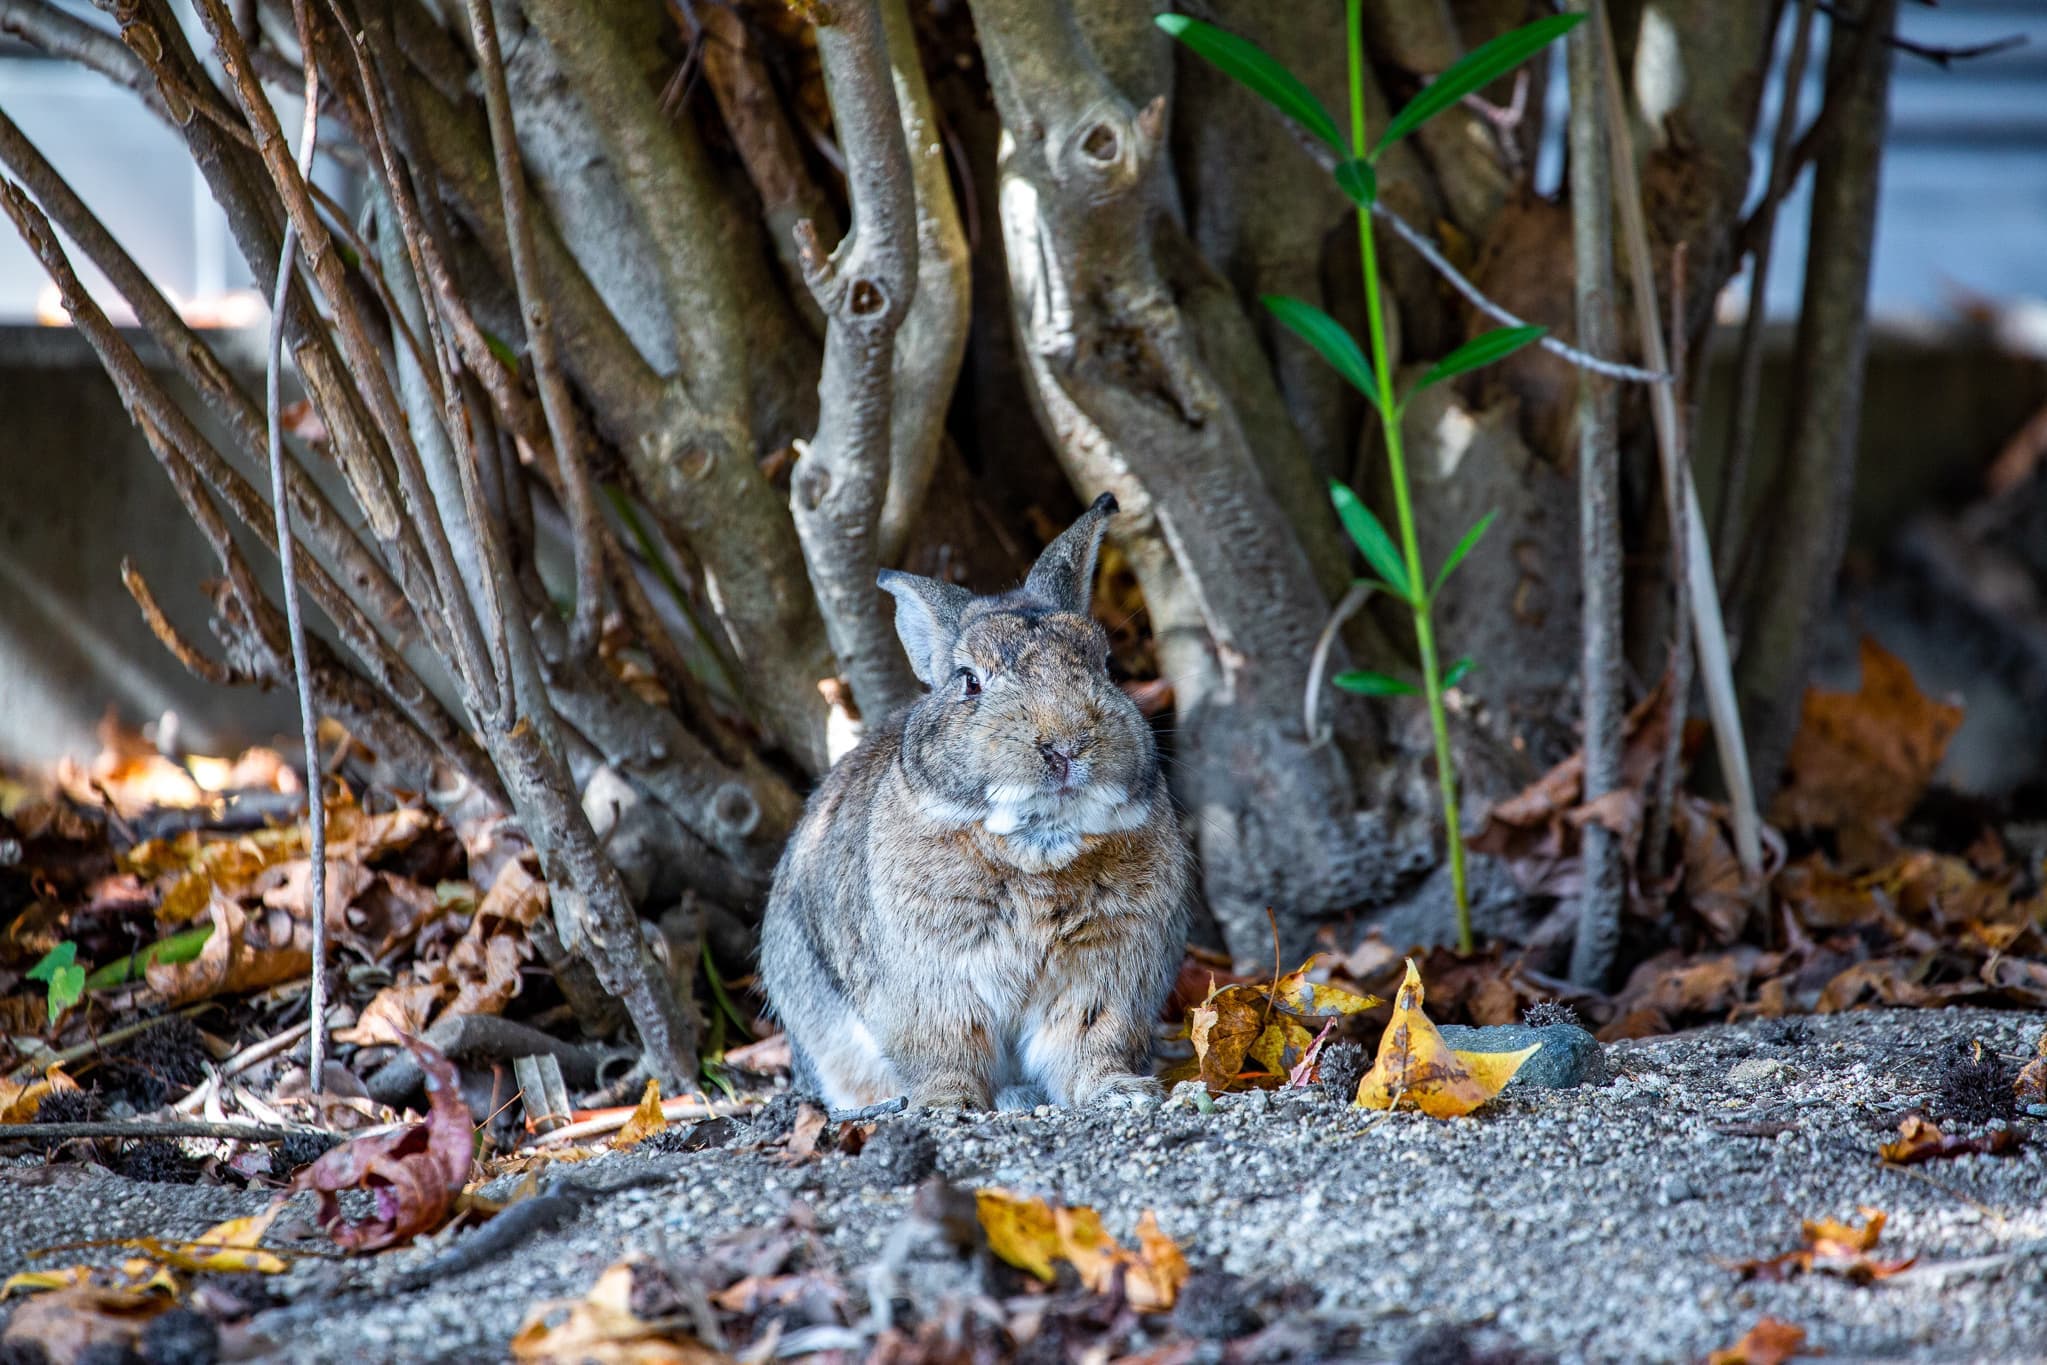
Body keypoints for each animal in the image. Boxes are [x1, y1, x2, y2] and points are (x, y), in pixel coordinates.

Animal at [765, 497, 1187, 1113]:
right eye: (969, 682)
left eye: (1106, 665)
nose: (1065, 745)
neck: (1038, 845)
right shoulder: (932, 984)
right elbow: (946, 1048)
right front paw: (949, 1105)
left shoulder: (1105, 977)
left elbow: (1089, 1040)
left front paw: (1118, 1091)